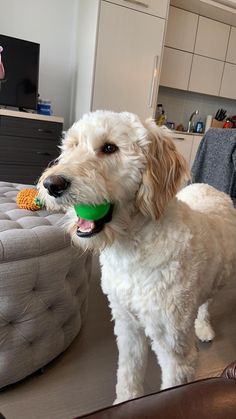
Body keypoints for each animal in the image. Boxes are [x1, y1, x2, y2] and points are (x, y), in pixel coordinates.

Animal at [37, 110, 236, 404]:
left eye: (110, 148)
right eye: (73, 145)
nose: (52, 184)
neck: (132, 249)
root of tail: (211, 187)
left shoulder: (175, 352)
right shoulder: (127, 326)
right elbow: (128, 376)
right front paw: (124, 402)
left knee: (206, 302)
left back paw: (203, 326)